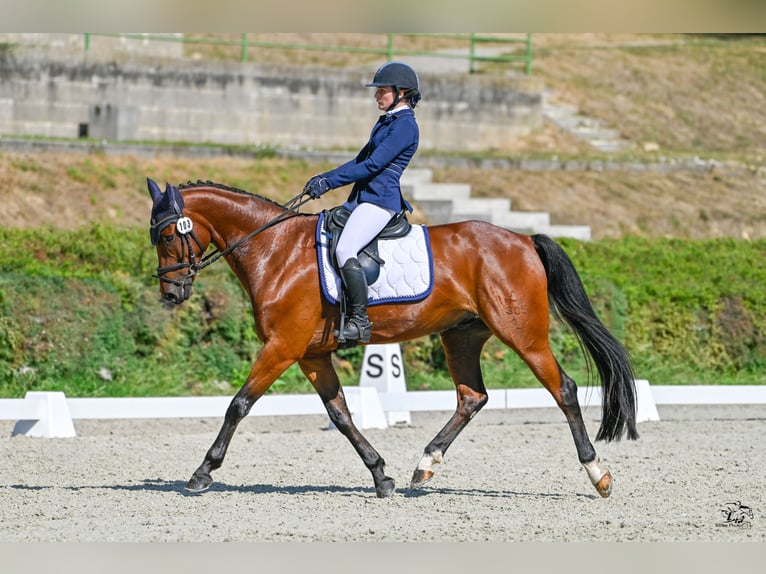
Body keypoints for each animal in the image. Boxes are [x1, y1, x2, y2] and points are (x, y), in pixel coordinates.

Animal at [147, 179, 640, 500]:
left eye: (169, 233)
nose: (171, 293)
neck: (274, 250)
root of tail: (522, 240)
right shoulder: (311, 354)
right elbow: (341, 415)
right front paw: (380, 476)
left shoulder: (282, 346)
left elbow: (239, 404)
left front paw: (201, 473)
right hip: (461, 336)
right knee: (471, 397)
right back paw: (424, 467)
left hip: (523, 334)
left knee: (564, 389)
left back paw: (598, 475)